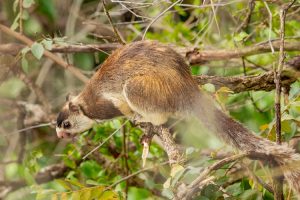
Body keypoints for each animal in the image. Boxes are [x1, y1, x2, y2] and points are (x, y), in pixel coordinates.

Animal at [56, 39, 300, 195]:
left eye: (66, 124)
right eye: (56, 126)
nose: (59, 136)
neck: (85, 102)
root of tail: (186, 86)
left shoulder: (106, 104)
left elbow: (123, 108)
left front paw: (134, 116)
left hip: (144, 88)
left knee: (142, 98)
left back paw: (150, 119)